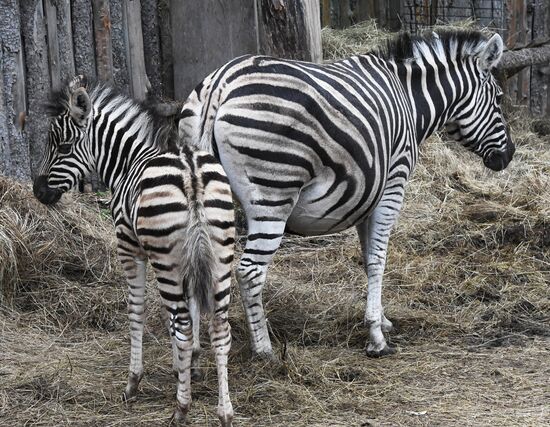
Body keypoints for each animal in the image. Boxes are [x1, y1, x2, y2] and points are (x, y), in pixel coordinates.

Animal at [32, 77, 235, 427]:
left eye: (63, 147)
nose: (37, 191)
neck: (127, 162)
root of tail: (191, 173)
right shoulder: (188, 261)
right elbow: (188, 310)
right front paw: (187, 367)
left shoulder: (130, 248)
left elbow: (137, 311)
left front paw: (134, 381)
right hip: (219, 255)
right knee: (220, 327)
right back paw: (225, 412)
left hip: (167, 261)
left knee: (183, 326)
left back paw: (181, 409)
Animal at [179, 28, 516, 360]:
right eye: (499, 99)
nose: (509, 156)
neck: (410, 99)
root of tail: (220, 85)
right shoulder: (393, 184)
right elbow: (379, 259)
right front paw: (376, 337)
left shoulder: (367, 195)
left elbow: (368, 258)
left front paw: (382, 319)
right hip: (273, 194)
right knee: (249, 271)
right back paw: (264, 350)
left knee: (192, 267)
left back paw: (192, 349)